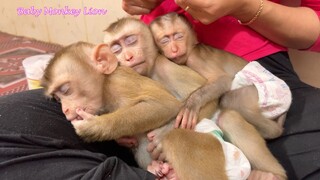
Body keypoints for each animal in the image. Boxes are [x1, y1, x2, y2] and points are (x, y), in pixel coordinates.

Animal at [149, 12, 292, 139]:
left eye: (178, 36)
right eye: (165, 40)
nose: (174, 49)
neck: (192, 48)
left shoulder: (194, 58)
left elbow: (223, 79)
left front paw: (191, 103)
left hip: (271, 92)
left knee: (230, 99)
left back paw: (273, 131)